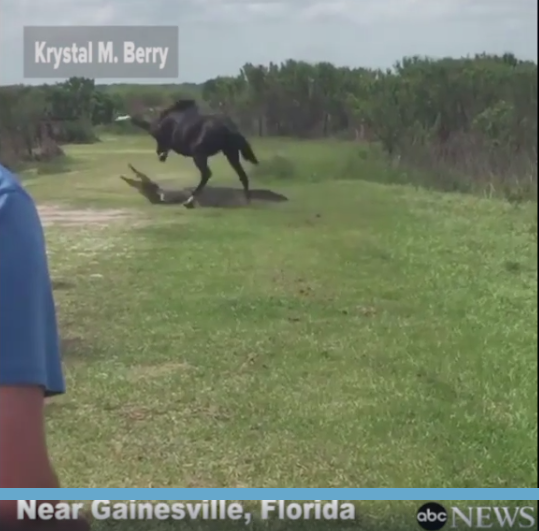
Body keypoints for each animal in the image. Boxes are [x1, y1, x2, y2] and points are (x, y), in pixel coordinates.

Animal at [114, 100, 260, 208]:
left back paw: (189, 201)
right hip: (230, 154)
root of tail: (230, 128)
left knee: (207, 174)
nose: (161, 155)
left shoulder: (156, 131)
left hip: (200, 155)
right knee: (242, 175)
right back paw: (247, 201)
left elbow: (140, 122)